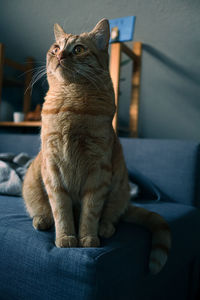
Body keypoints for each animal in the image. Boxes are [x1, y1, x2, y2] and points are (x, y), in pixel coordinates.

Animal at [23, 18, 170, 274]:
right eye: (55, 48)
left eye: (78, 49)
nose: (60, 55)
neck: (70, 102)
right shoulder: (52, 167)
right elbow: (60, 208)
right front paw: (66, 237)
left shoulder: (99, 169)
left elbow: (90, 211)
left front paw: (88, 238)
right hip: (32, 183)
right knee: (42, 209)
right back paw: (42, 220)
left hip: (119, 188)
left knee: (112, 214)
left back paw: (105, 228)